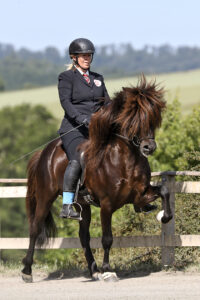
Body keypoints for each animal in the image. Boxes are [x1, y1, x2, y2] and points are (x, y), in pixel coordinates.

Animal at [21, 76, 173, 282]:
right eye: (132, 118)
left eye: (152, 117)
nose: (148, 148)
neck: (125, 160)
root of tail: (45, 152)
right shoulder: (107, 204)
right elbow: (107, 238)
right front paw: (108, 270)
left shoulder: (140, 195)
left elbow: (164, 191)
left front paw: (164, 216)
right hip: (45, 197)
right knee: (35, 229)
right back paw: (27, 271)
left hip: (83, 205)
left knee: (83, 236)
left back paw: (94, 271)